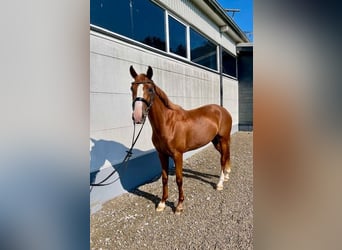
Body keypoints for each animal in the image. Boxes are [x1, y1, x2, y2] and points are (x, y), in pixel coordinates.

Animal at [129, 65, 232, 214]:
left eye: (150, 89)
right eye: (132, 88)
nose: (137, 116)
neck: (167, 123)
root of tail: (223, 110)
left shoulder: (178, 155)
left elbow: (179, 179)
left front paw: (179, 205)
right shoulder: (161, 154)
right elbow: (165, 178)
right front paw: (162, 203)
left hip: (223, 139)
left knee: (223, 159)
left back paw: (219, 184)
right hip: (216, 141)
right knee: (225, 156)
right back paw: (226, 176)